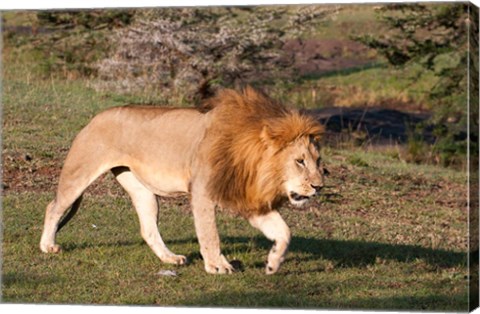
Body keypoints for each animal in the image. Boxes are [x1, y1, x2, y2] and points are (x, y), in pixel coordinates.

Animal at [40, 86, 326, 274]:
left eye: (318, 160)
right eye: (299, 161)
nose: (318, 187)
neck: (252, 164)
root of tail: (96, 117)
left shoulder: (247, 198)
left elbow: (284, 231)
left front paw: (273, 263)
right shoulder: (202, 192)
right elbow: (210, 234)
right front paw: (217, 266)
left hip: (141, 190)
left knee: (148, 228)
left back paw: (170, 259)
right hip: (79, 172)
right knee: (53, 207)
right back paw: (48, 246)